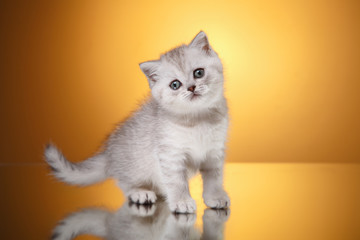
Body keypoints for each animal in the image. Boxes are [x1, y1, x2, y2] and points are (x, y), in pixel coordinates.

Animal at [44, 31, 231, 213]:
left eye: (199, 73)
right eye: (175, 85)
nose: (191, 88)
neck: (198, 119)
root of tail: (108, 155)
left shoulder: (214, 153)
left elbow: (214, 179)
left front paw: (216, 197)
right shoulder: (170, 155)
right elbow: (176, 182)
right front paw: (181, 201)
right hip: (135, 168)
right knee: (126, 184)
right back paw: (141, 193)